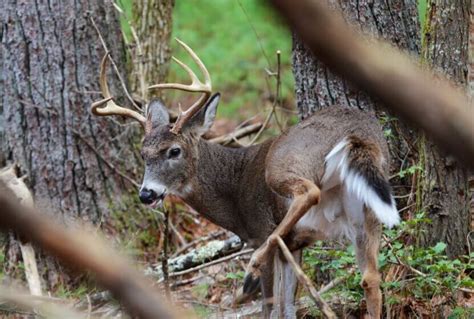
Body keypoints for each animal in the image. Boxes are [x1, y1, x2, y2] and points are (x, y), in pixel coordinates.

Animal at [90, 40, 398, 319]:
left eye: (174, 151)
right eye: (143, 154)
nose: (147, 194)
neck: (234, 187)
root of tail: (357, 136)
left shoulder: (265, 232)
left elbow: (271, 308)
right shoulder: (294, 247)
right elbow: (288, 308)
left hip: (283, 166)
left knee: (307, 193)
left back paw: (249, 272)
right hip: (366, 210)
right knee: (371, 279)